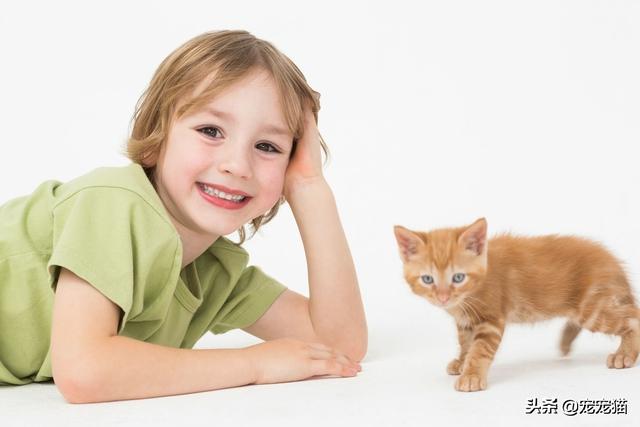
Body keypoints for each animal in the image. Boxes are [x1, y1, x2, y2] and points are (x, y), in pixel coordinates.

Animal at [392, 219, 636, 392]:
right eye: (427, 279)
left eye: (458, 277)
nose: (443, 298)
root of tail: (612, 261)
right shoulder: (466, 321)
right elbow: (466, 343)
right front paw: (462, 363)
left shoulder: (491, 320)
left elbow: (479, 349)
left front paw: (471, 376)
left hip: (592, 309)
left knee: (633, 316)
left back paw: (625, 355)